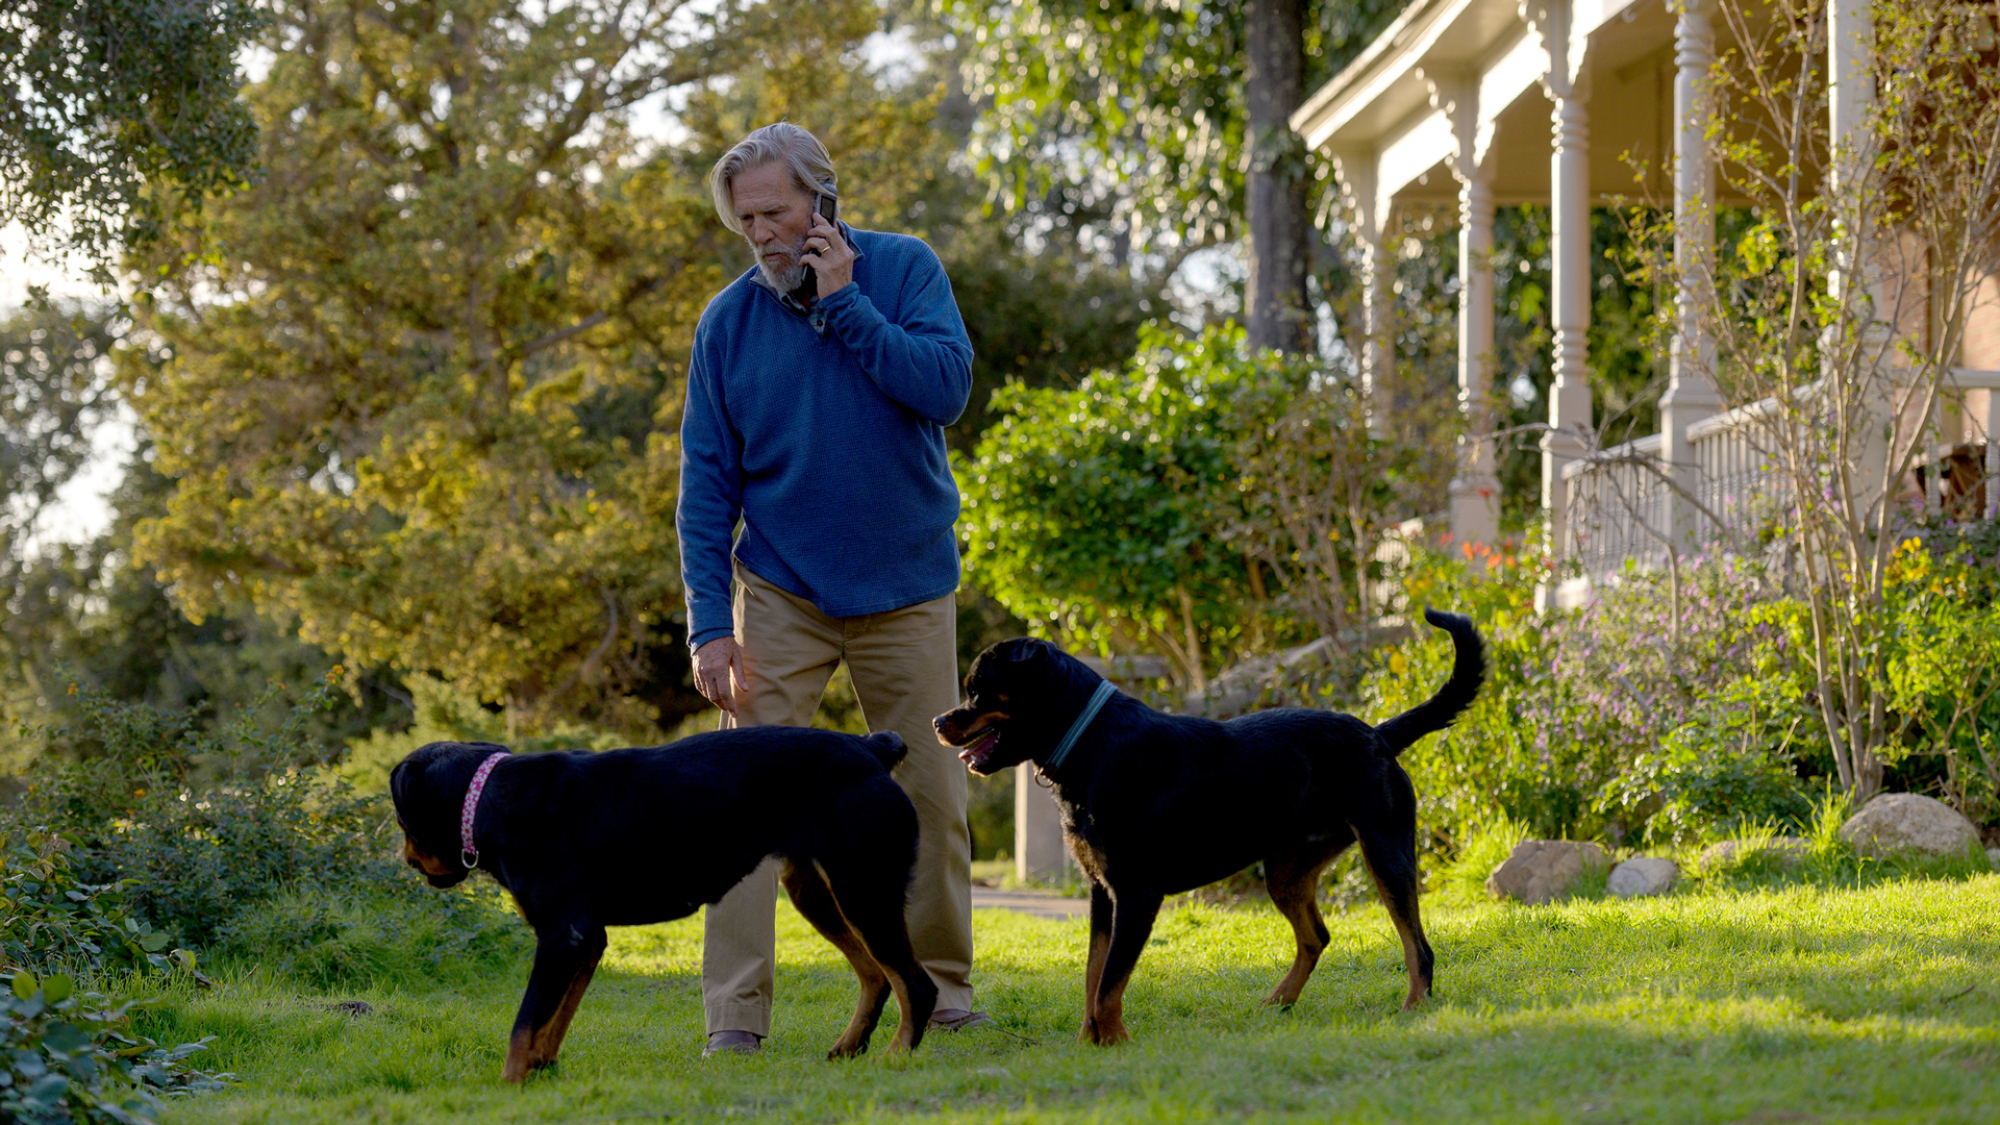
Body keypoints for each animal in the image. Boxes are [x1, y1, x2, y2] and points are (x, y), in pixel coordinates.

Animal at [388, 728, 936, 1080]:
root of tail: (869, 748)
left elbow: (524, 1024)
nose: (407, 859)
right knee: (876, 975)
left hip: (865, 889)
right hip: (819, 891)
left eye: (399, 818)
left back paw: (895, 1057)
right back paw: (850, 1046)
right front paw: (545, 1068)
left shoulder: (563, 935)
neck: (487, 797)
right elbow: (555, 1018)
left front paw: (509, 1087)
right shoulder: (586, 939)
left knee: (916, 984)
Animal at [936, 608, 1488, 1040]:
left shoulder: (1136, 894)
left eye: (979, 690)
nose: (941, 721)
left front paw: (1113, 1041)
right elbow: (1093, 974)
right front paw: (1087, 1042)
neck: (1090, 742)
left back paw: (1414, 1009)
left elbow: (1110, 979)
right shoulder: (1101, 893)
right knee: (1316, 936)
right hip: (1286, 870)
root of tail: (1378, 734)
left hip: (1386, 851)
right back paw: (1277, 1002)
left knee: (1418, 946)